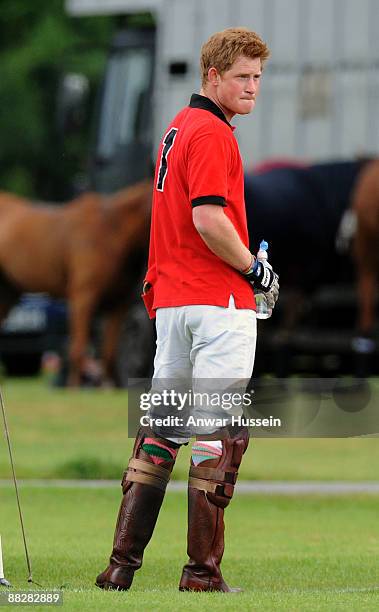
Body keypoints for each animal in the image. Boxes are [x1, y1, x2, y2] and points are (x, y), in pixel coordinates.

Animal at [0, 179, 154, 384]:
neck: (112, 232)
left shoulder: (118, 304)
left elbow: (109, 351)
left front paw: (108, 385)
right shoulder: (83, 298)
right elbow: (78, 348)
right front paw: (75, 386)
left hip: (7, 294)